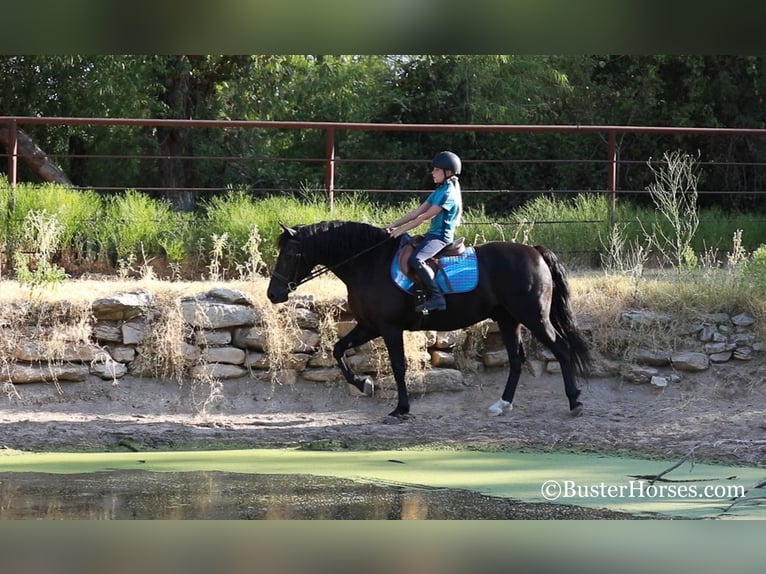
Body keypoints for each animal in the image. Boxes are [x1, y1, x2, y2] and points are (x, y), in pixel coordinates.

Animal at [268, 220, 592, 424]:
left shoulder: (389, 328)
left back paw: (575, 402)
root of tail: (535, 251)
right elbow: (337, 350)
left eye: (291, 253)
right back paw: (503, 404)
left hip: (533, 316)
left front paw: (400, 409)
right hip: (508, 319)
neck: (368, 264)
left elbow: (399, 367)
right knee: (516, 359)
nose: (273, 294)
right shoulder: (369, 326)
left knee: (561, 349)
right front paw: (364, 383)